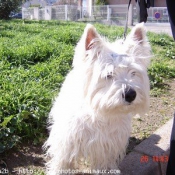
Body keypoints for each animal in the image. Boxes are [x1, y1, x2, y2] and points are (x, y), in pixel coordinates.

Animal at [44, 22, 152, 174]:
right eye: (108, 74)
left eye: (133, 72)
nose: (130, 94)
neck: (101, 111)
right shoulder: (67, 143)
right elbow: (62, 163)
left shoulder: (107, 147)